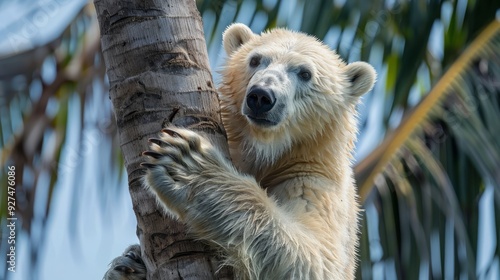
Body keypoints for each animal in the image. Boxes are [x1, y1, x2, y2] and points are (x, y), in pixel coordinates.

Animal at [141, 23, 376, 278]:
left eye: (305, 73)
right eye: (255, 60)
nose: (261, 96)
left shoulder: (315, 183)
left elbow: (315, 260)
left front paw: (186, 164)